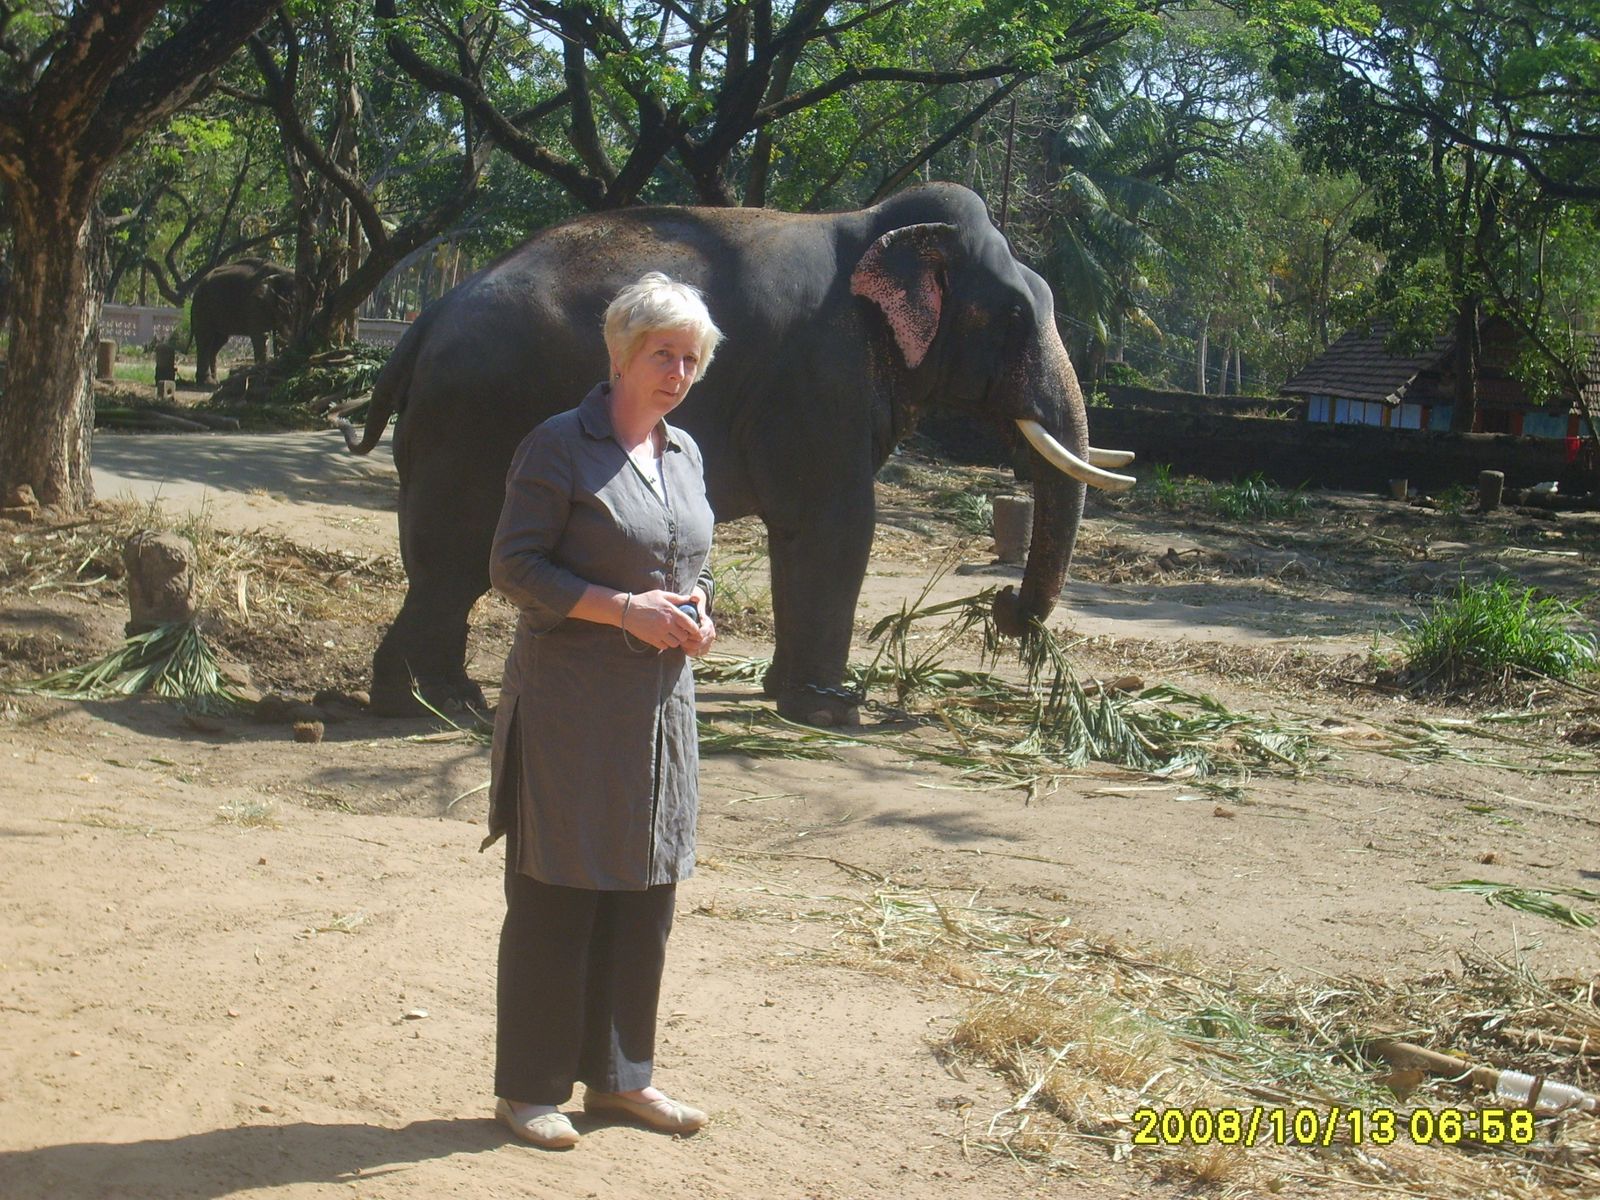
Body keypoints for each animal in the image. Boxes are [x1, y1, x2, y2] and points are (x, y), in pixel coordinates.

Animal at [343, 182, 1135, 724]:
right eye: (1014, 315)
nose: (1003, 608)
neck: (880, 227)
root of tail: (425, 321)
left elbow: (804, 533)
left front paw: (789, 696)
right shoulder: (818, 372)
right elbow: (837, 522)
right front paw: (834, 712)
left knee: (447, 566)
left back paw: (438, 701)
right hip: (474, 419)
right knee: (461, 559)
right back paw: (437, 707)